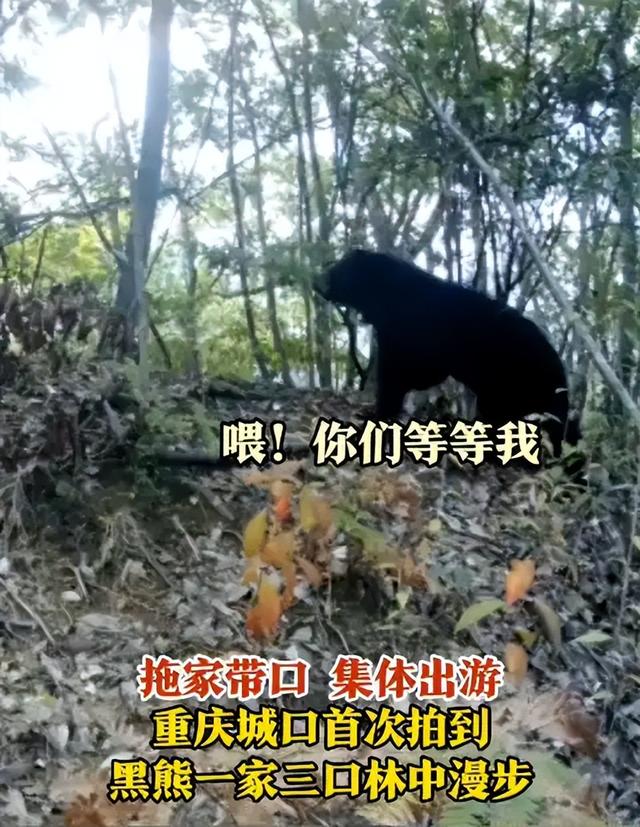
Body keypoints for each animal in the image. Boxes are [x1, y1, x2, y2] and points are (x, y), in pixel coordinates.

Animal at [315, 249, 580, 457]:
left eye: (339, 268)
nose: (318, 280)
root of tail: (562, 377)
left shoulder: (407, 339)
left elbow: (396, 377)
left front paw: (380, 412)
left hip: (518, 386)